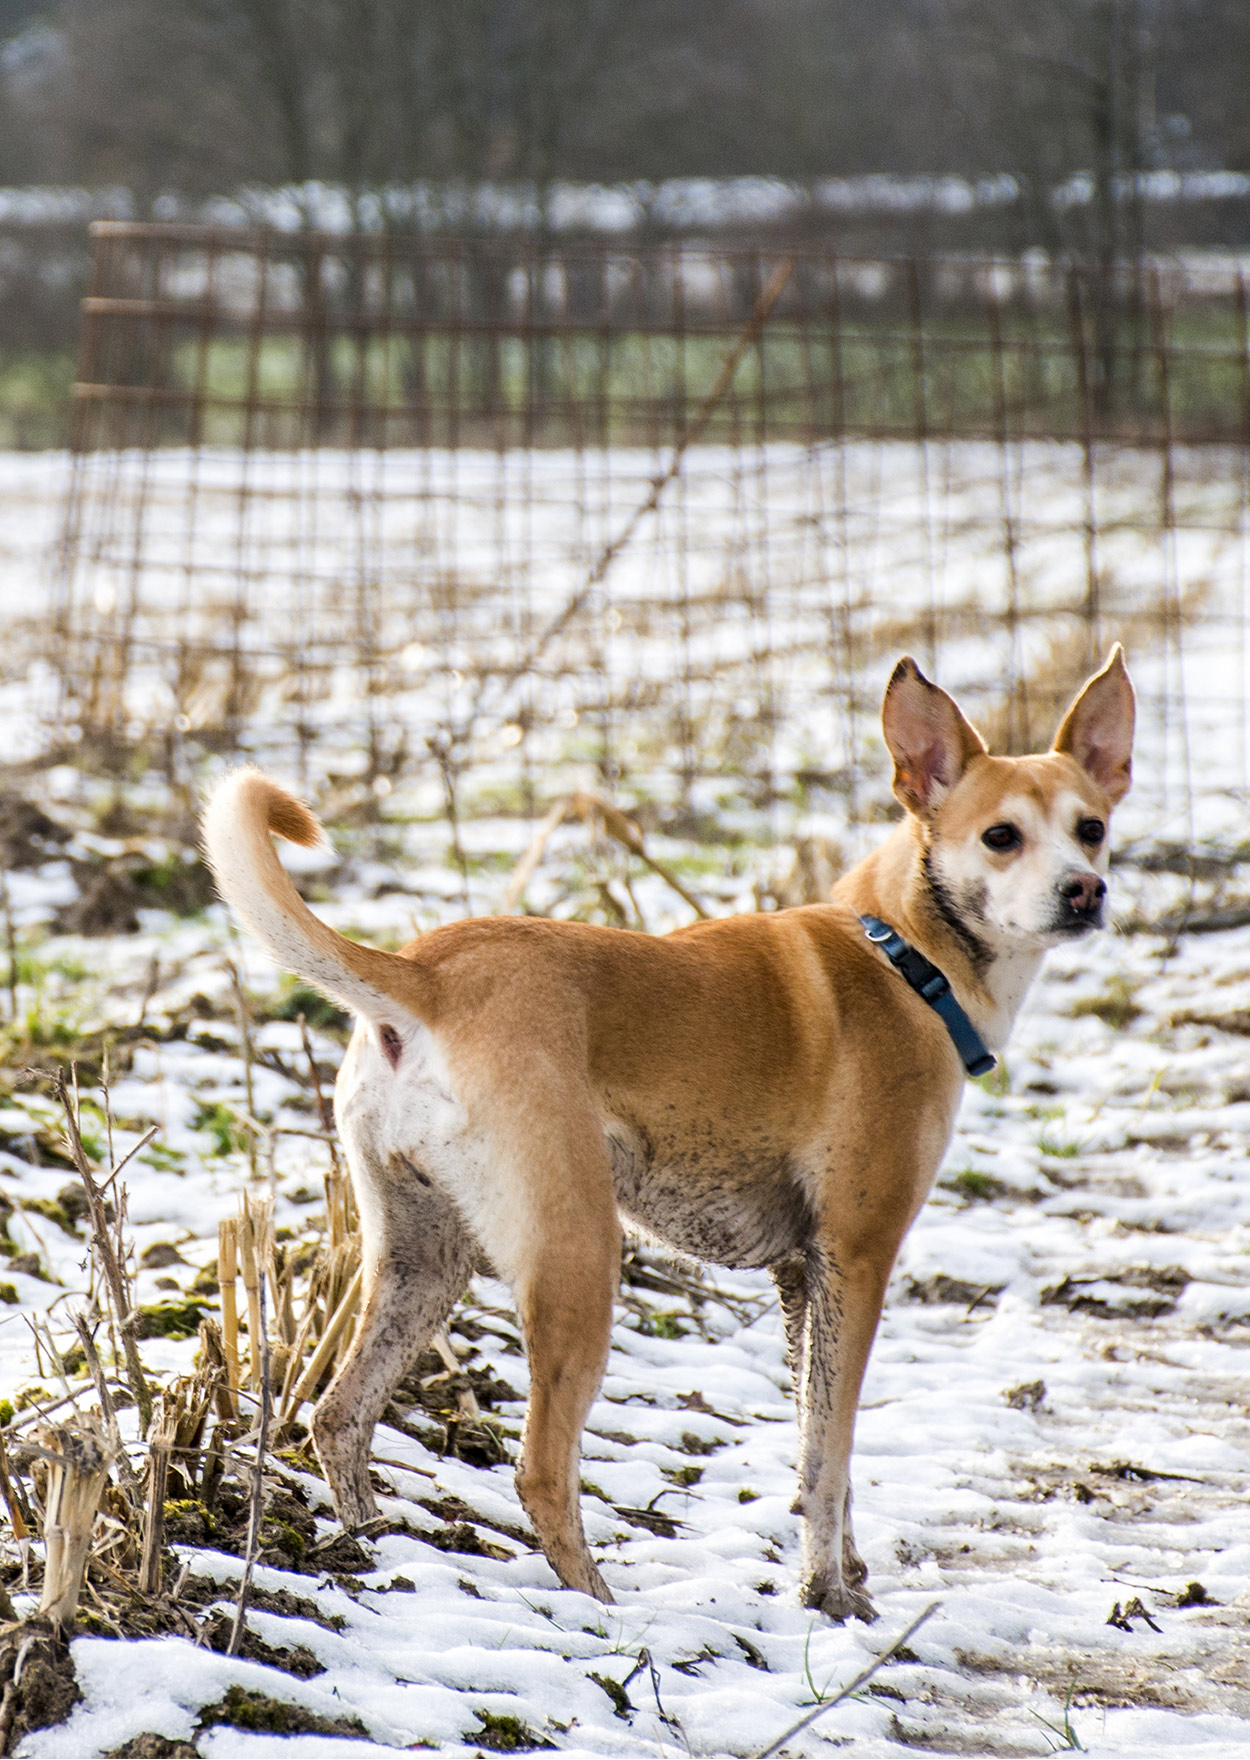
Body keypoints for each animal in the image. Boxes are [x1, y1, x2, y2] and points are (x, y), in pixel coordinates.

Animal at [203, 647, 1133, 1619]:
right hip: (577, 1258)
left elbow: (816, 1448)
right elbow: (830, 1454)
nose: (1084, 890)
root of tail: (427, 975)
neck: (907, 955)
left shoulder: (802, 1277)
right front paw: (828, 1595)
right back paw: (600, 1606)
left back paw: (373, 1550)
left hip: (420, 1256)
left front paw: (844, 1572)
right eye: (1001, 836)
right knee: (541, 1470)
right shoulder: (857, 1255)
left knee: (339, 1415)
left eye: (1091, 828)